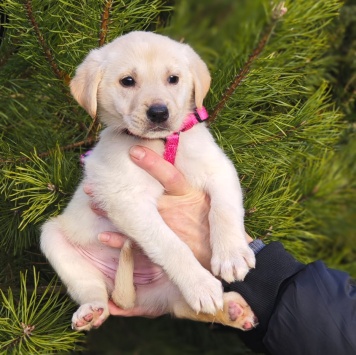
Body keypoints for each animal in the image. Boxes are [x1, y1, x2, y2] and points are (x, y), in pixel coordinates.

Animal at [41, 32, 256, 332]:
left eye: (173, 79)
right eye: (127, 81)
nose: (158, 112)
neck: (160, 144)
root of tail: (139, 293)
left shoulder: (219, 169)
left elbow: (224, 211)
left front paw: (232, 255)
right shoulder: (128, 200)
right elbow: (170, 244)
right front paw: (200, 284)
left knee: (182, 309)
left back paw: (233, 310)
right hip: (52, 239)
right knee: (92, 290)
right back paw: (91, 312)